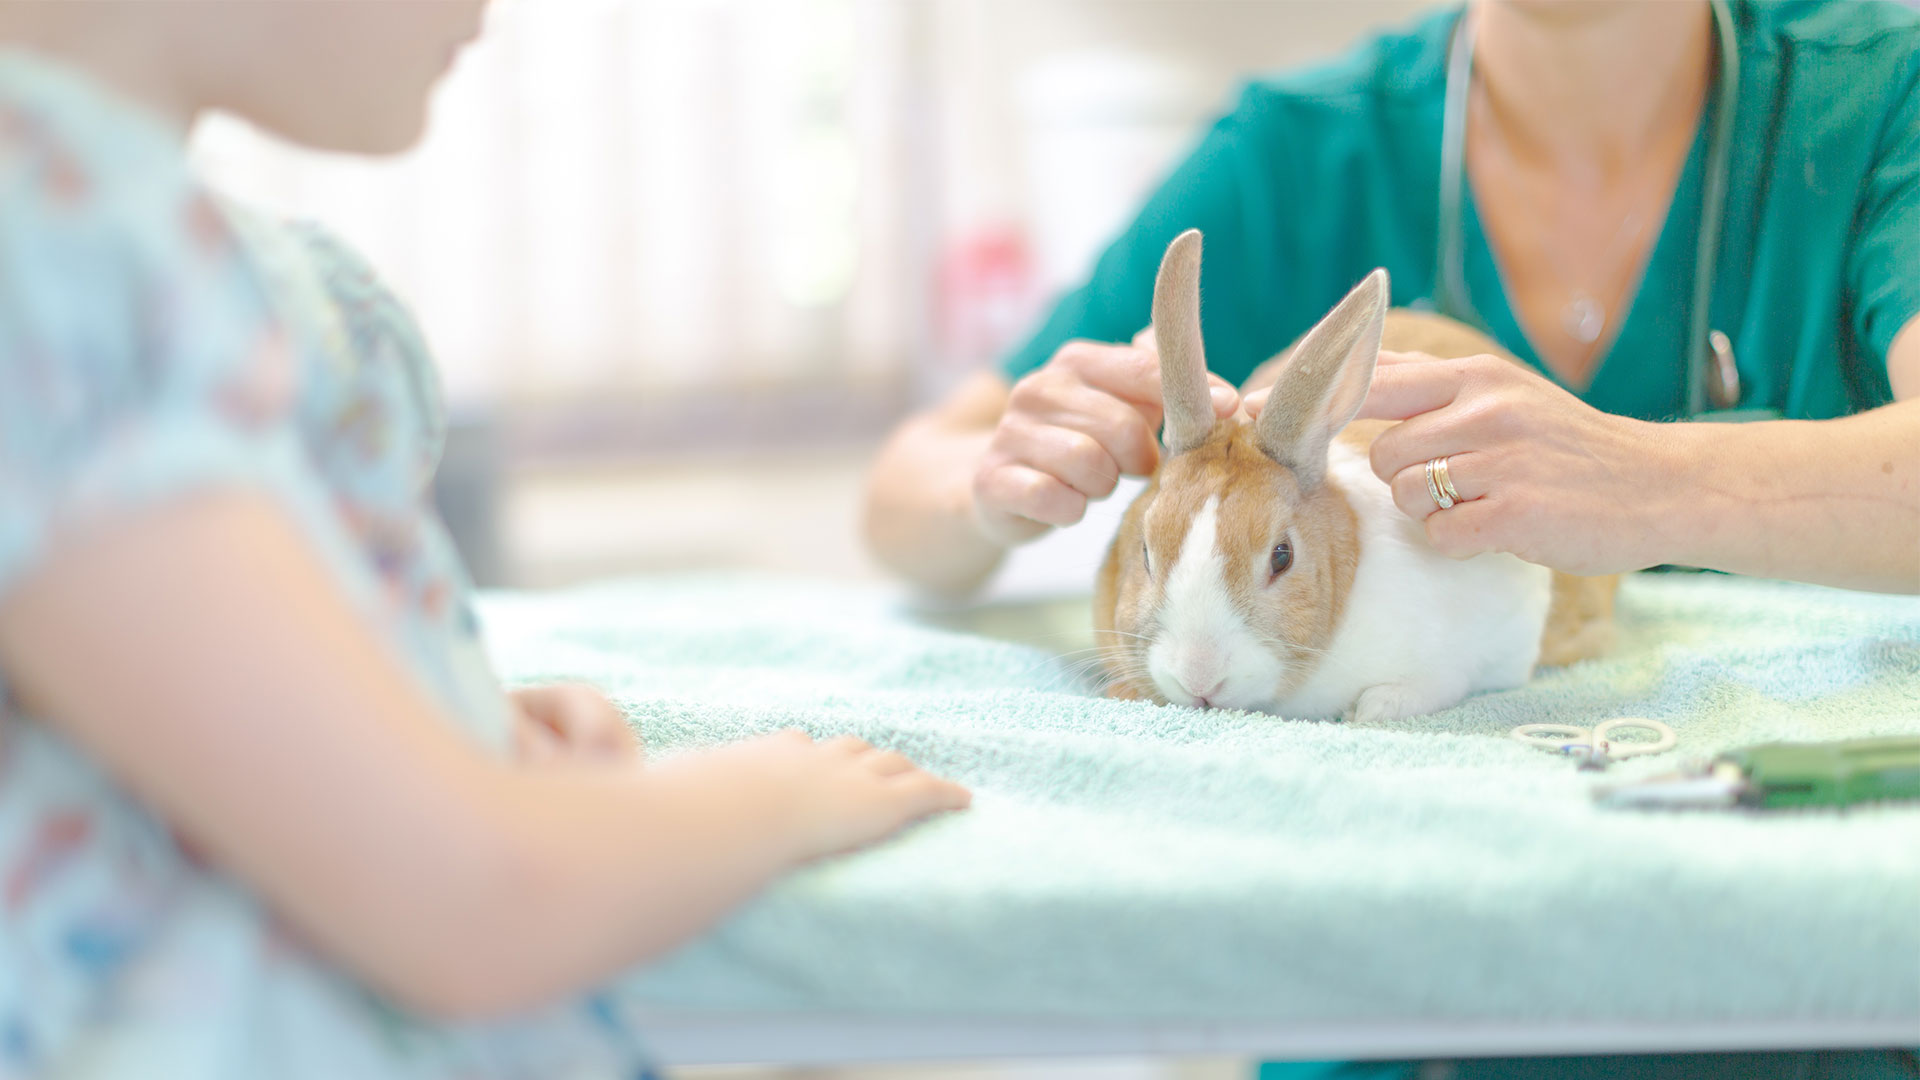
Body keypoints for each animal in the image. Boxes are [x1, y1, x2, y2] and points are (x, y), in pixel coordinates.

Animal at [1093, 229, 1617, 722]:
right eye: (1145, 551)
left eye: (1282, 556)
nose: (1200, 676)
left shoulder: (1469, 650)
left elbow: (1437, 683)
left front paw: (1375, 708)